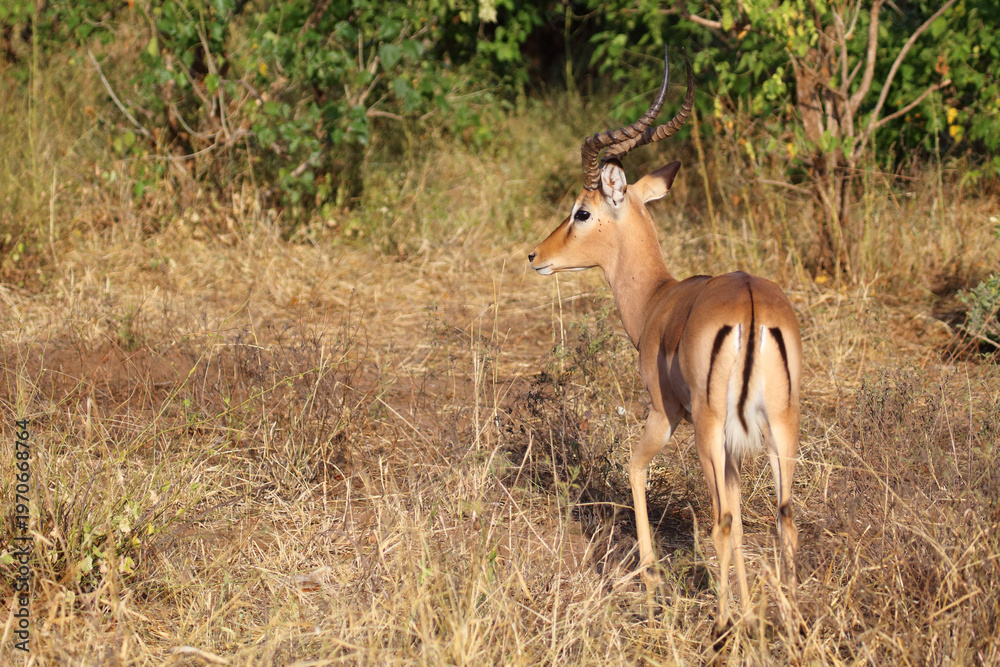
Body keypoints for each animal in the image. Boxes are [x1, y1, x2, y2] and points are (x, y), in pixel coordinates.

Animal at [527, 50, 801, 634]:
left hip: (708, 429)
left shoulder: (663, 413)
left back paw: (720, 626)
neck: (658, 299)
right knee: (784, 517)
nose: (535, 255)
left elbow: (634, 469)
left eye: (581, 211)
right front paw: (751, 611)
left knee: (721, 520)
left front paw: (654, 586)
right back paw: (787, 623)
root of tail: (750, 304)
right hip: (781, 426)